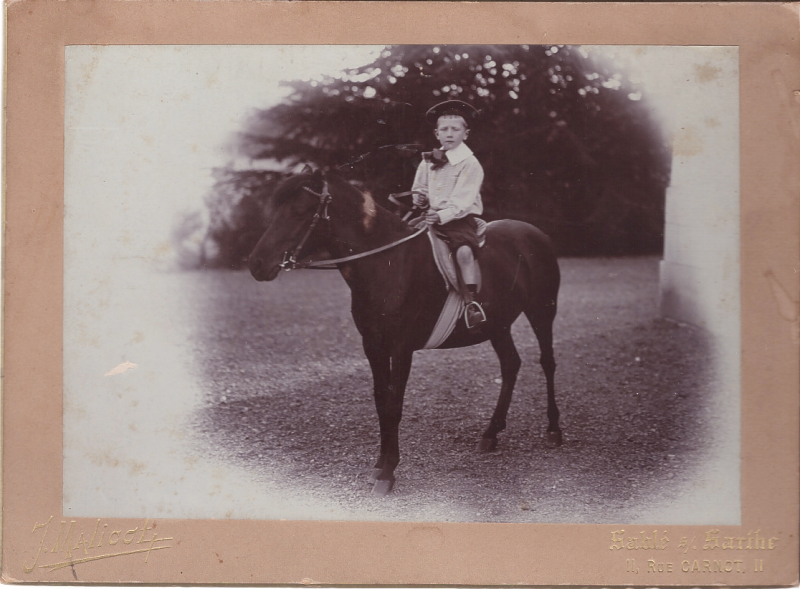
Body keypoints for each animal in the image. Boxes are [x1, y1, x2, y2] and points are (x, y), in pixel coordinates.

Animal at [250, 170, 564, 496]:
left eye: (299, 212)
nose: (255, 264)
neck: (388, 264)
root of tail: (535, 233)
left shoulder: (402, 347)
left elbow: (394, 404)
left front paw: (389, 472)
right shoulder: (373, 344)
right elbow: (380, 401)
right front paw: (379, 464)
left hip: (542, 311)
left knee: (547, 362)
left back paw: (554, 429)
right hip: (497, 325)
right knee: (511, 364)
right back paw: (491, 433)